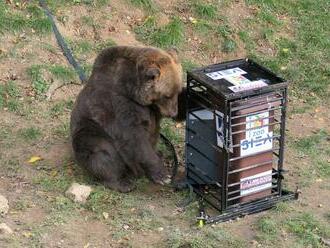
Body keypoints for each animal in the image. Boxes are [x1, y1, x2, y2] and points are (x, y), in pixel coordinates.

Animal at [70, 45, 184, 193]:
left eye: (178, 91)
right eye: (167, 95)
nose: (173, 113)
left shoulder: (152, 108)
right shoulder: (118, 104)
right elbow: (134, 137)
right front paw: (162, 175)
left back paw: (159, 154)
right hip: (90, 131)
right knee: (101, 153)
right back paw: (123, 183)